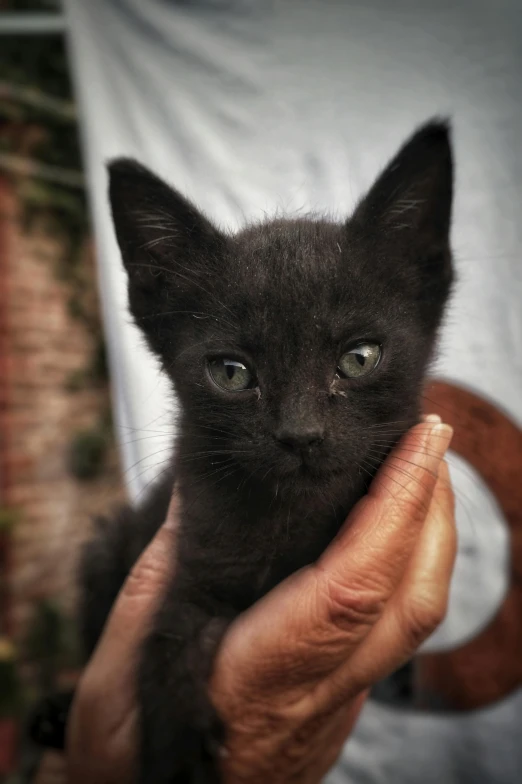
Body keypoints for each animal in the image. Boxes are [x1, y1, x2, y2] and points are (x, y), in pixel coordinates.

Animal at [80, 119, 450, 780]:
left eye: (359, 358)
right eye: (231, 373)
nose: (299, 433)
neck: (292, 519)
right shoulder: (194, 560)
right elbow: (168, 642)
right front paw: (176, 754)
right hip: (104, 548)